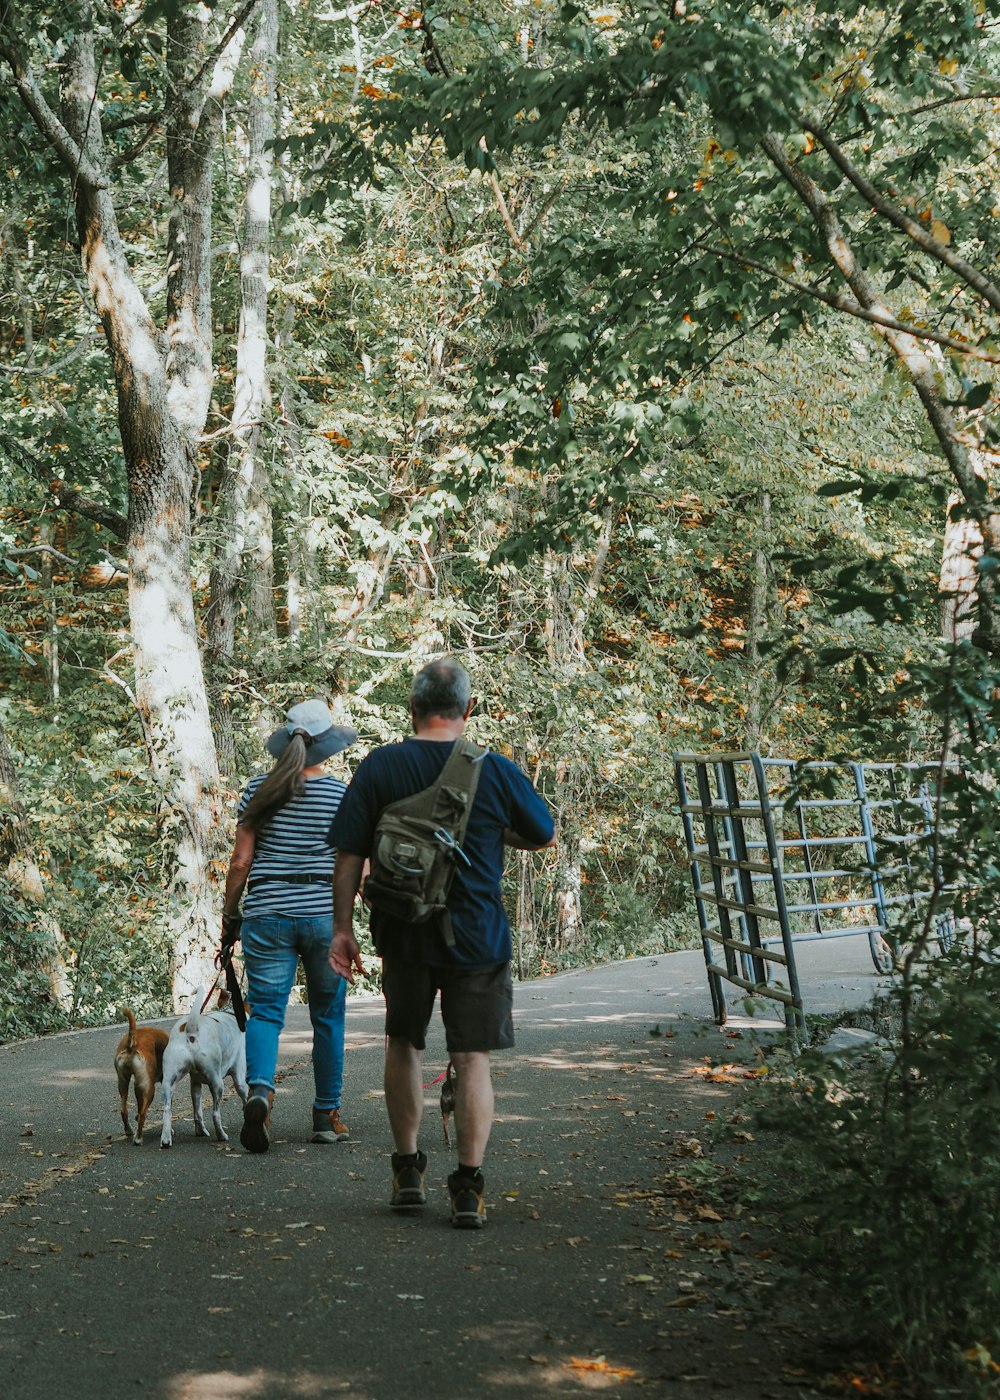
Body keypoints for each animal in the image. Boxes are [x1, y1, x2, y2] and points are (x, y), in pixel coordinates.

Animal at [114, 1013, 168, 1142]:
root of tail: (132, 1043)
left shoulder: (138, 1086)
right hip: (149, 1089)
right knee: (142, 1114)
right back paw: (138, 1138)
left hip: (123, 1084)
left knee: (124, 1111)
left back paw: (129, 1131)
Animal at [158, 985, 247, 1148]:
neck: (230, 1012)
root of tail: (191, 1029)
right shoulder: (239, 1079)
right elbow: (245, 1097)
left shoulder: (195, 1083)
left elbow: (197, 1110)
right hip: (217, 1083)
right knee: (215, 1113)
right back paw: (221, 1136)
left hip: (169, 1083)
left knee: (168, 1111)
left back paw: (170, 1139)